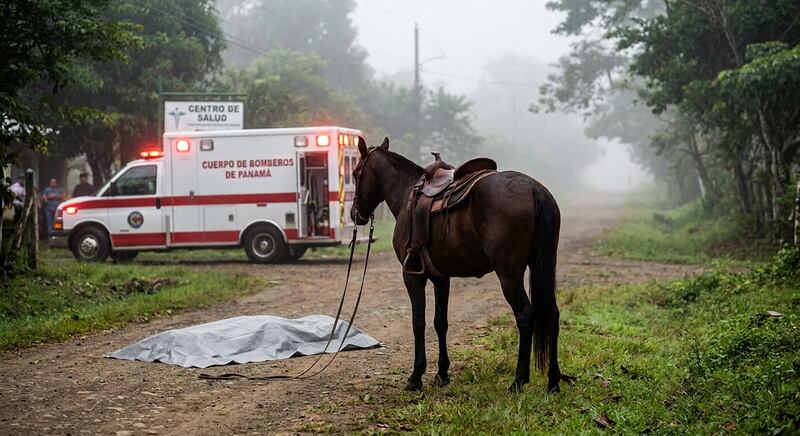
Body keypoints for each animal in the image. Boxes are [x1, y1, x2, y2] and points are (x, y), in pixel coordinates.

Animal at [350, 137, 562, 393]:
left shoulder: (412, 276)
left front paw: (416, 376)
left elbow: (418, 323)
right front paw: (442, 374)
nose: (355, 214)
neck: (407, 194)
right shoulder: (441, 277)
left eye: (355, 173)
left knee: (525, 315)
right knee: (552, 315)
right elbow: (440, 322)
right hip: (544, 265)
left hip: (509, 275)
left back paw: (519, 380)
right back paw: (553, 381)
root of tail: (533, 188)